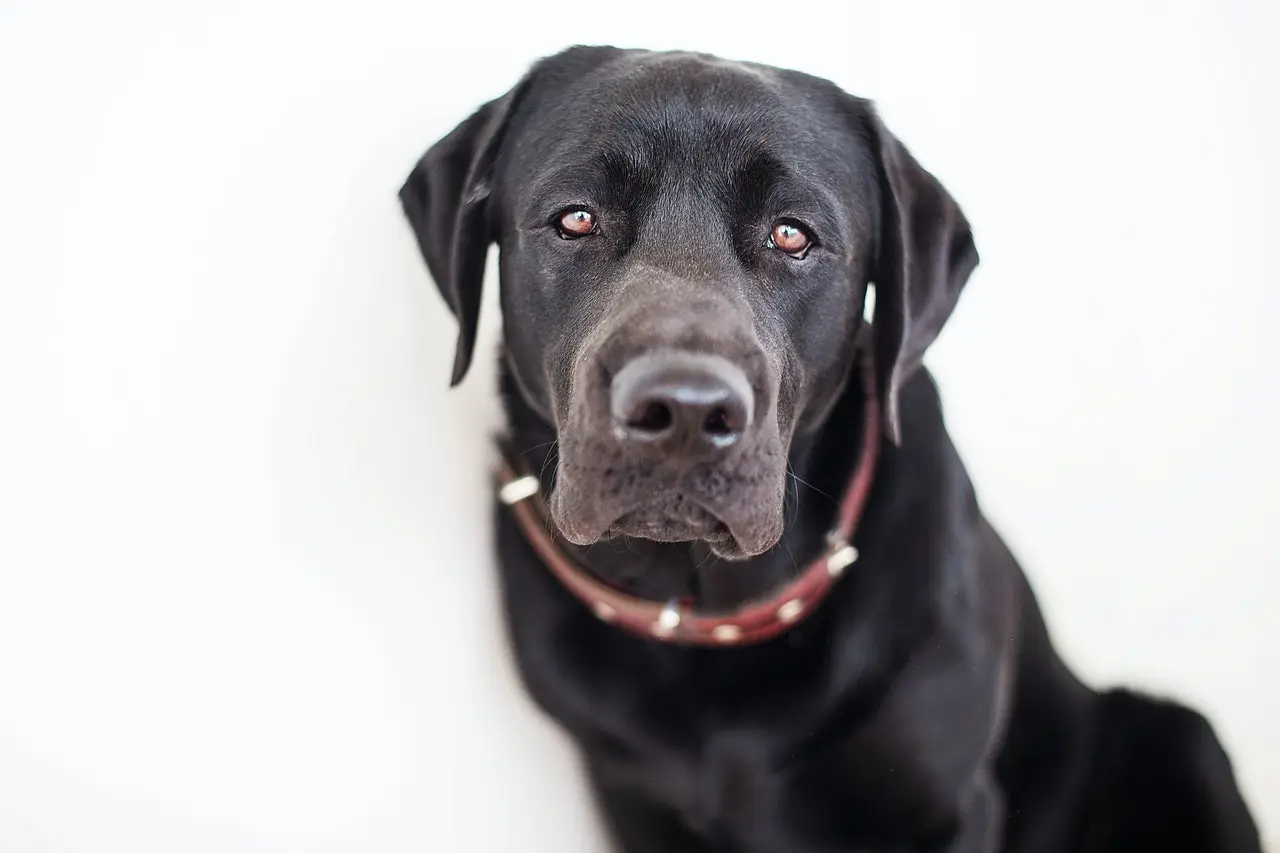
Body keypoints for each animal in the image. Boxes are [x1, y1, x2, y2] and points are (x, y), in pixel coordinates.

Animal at [396, 44, 1259, 850]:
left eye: (792, 235)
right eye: (575, 219)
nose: (684, 409)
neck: (717, 617)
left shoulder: (950, 806)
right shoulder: (631, 799)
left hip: (1184, 738)